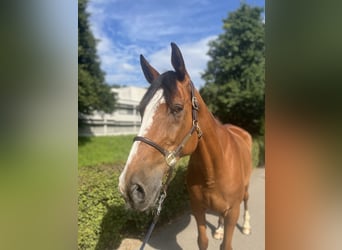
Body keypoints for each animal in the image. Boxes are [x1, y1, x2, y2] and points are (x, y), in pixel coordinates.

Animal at [119, 42, 252, 249]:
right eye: (140, 110)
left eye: (178, 108)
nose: (130, 188)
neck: (214, 171)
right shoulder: (197, 209)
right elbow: (202, 241)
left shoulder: (233, 212)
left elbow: (226, 245)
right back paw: (219, 229)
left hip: (245, 189)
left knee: (246, 200)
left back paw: (246, 226)